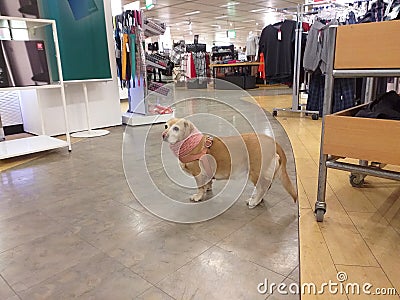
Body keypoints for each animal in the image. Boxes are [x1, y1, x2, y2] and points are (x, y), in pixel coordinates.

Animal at [162, 118, 296, 209]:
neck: (190, 142)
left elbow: (200, 187)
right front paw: (207, 189)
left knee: (263, 187)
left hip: (256, 171)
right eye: (165, 126)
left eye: (176, 128)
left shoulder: (198, 172)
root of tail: (274, 142)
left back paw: (254, 201)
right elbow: (207, 182)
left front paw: (198, 196)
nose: (163, 135)